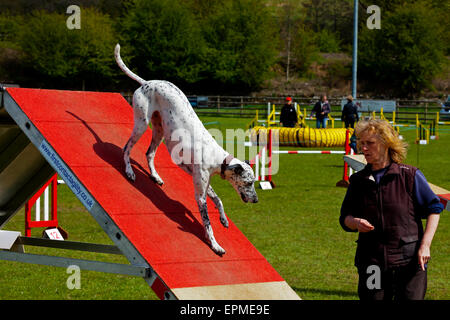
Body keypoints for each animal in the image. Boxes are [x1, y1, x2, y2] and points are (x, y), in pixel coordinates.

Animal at [114, 44, 258, 255]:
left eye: (254, 182)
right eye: (248, 183)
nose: (256, 200)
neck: (216, 156)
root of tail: (147, 82)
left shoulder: (205, 185)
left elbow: (219, 200)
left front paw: (223, 219)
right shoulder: (200, 196)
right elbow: (208, 224)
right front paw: (215, 245)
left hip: (159, 131)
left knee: (149, 153)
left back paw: (155, 176)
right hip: (141, 124)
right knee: (126, 148)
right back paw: (129, 171)